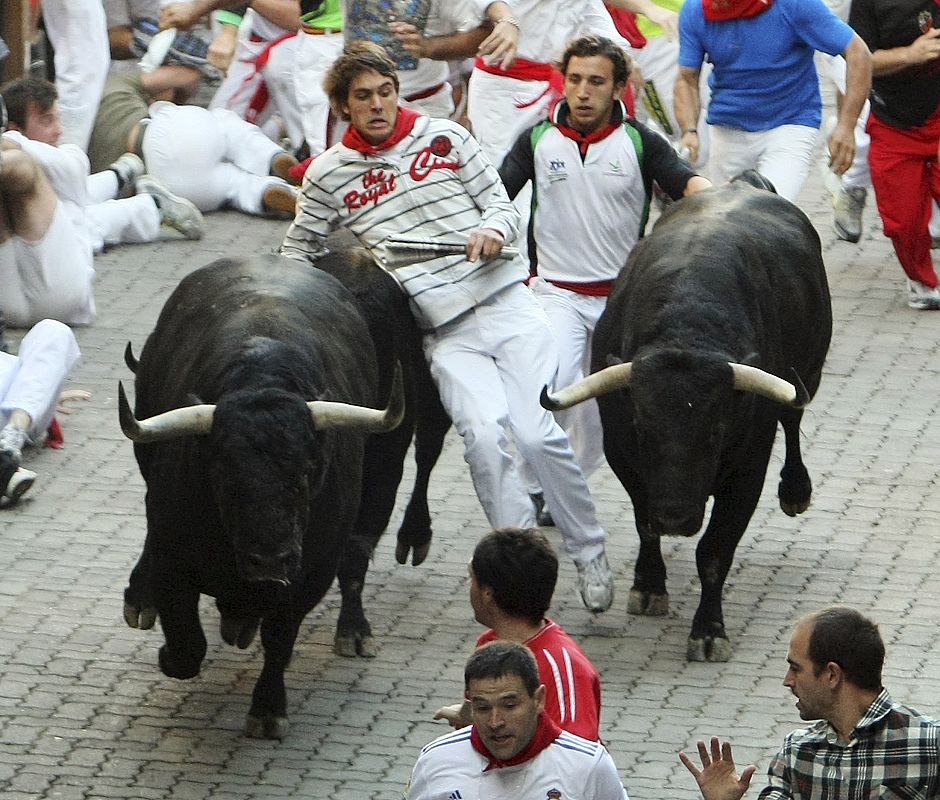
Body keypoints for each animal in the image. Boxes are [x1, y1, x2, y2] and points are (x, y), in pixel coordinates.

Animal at [119, 255, 450, 736]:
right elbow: (185, 644)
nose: (271, 560)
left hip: (386, 466)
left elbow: (281, 637)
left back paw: (352, 630)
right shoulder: (171, 552)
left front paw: (268, 708)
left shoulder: (311, 571)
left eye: (309, 470)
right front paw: (172, 646)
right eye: (223, 473)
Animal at [540, 186, 832, 664]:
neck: (686, 326)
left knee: (793, 417)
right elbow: (644, 523)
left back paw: (795, 491)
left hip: (808, 371)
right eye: (642, 426)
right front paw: (648, 586)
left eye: (716, 429)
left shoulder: (748, 470)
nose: (675, 516)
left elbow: (713, 551)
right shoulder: (624, 455)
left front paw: (709, 631)